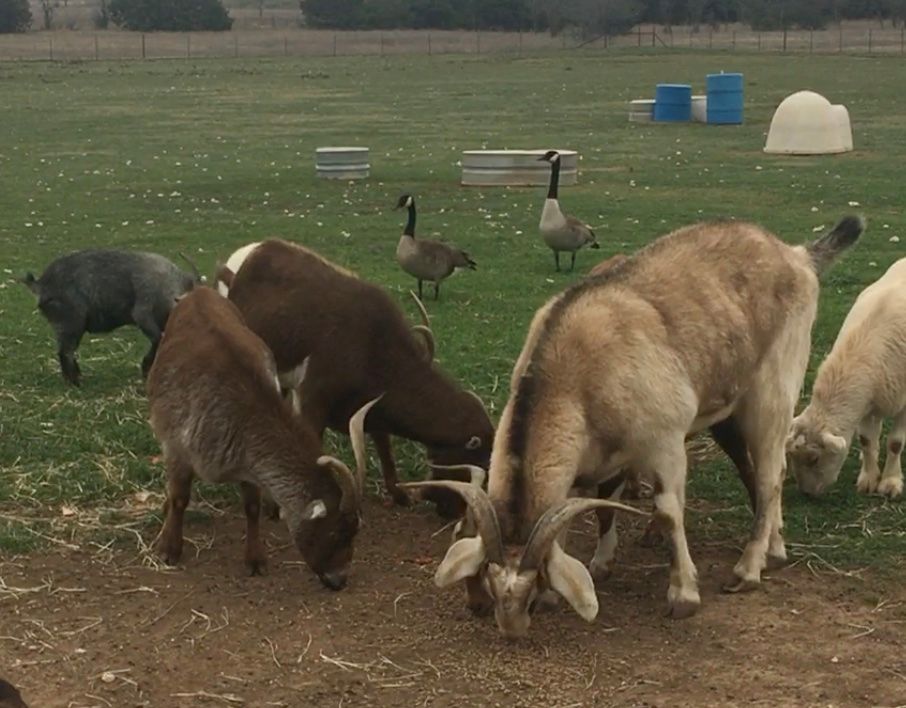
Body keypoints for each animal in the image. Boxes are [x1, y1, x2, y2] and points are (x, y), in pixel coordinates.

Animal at [21, 248, 204, 385]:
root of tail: (40, 285)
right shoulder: (142, 314)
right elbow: (158, 339)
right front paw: (146, 369)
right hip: (71, 323)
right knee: (65, 352)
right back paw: (75, 382)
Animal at [147, 285, 381, 591]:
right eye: (336, 534)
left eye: (355, 533)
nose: (339, 580)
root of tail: (199, 290)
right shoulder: (178, 446)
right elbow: (179, 499)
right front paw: (168, 549)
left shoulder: (245, 461)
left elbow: (252, 506)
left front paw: (256, 560)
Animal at [214, 238, 495, 520]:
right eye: (474, 464)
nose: (452, 511)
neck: (373, 346)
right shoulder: (313, 400)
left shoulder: (372, 405)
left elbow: (384, 447)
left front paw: (399, 494)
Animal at [404, 215, 864, 638]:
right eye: (486, 575)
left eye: (531, 581)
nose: (510, 626)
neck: (574, 369)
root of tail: (796, 255)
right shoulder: (598, 456)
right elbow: (599, 505)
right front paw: (599, 564)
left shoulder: (664, 443)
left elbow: (669, 512)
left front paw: (683, 595)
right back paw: (775, 549)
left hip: (772, 389)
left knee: (770, 475)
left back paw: (748, 569)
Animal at [788, 256, 906, 499]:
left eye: (814, 458)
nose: (806, 493)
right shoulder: (867, 402)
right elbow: (866, 440)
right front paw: (868, 479)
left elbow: (896, 444)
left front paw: (890, 482)